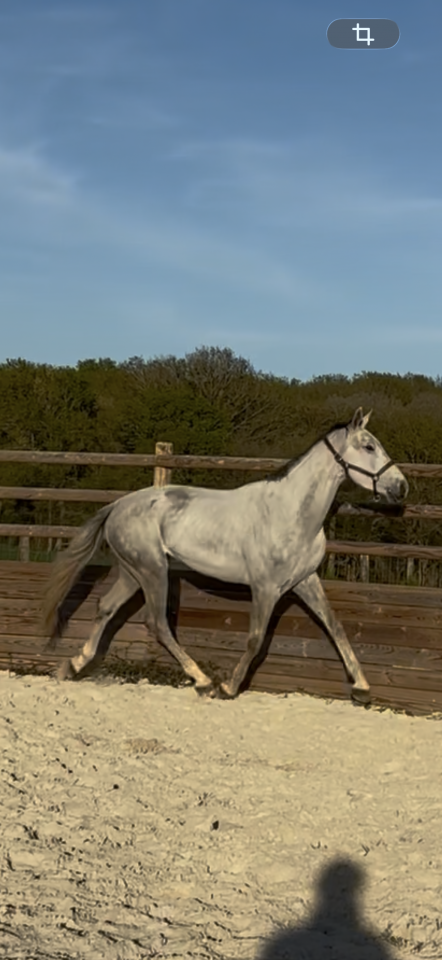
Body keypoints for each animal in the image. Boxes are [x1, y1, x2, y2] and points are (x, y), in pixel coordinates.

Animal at [42, 408, 408, 701]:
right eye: (369, 446)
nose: (401, 486)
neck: (291, 513)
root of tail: (118, 505)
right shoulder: (265, 587)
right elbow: (256, 639)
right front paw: (229, 687)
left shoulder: (305, 580)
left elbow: (335, 626)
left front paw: (362, 689)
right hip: (153, 571)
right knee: (157, 623)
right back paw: (203, 681)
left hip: (134, 572)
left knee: (106, 608)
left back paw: (73, 666)